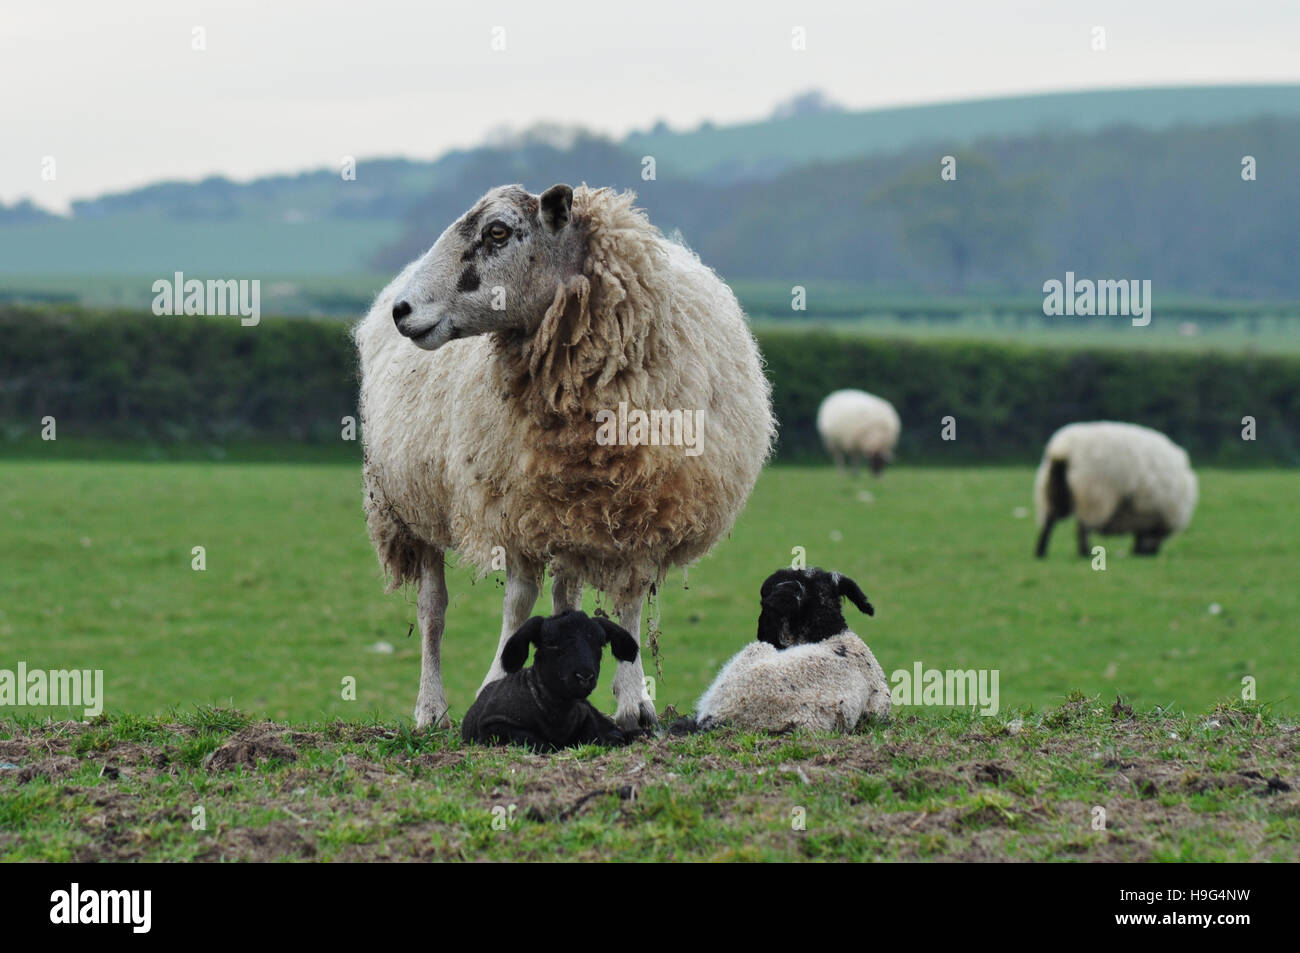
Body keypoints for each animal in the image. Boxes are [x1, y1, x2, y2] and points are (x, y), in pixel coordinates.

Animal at [355, 183, 775, 731]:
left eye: (497, 231)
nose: (402, 309)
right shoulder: (512, 507)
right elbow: (517, 604)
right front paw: (495, 684)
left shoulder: (644, 513)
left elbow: (628, 605)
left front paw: (634, 704)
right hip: (410, 505)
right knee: (433, 610)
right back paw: (430, 709)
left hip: (568, 513)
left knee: (564, 596)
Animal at [461, 610, 640, 752]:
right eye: (552, 644)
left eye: (600, 645)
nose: (585, 676)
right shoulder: (493, 726)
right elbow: (535, 741)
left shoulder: (586, 714)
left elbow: (592, 733)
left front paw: (613, 737)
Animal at [1034, 421, 1198, 558]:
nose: (1148, 554)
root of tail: (1063, 449)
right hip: (1092, 495)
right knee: (1083, 527)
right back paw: (1085, 553)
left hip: (1051, 490)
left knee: (1048, 523)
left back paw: (1041, 552)